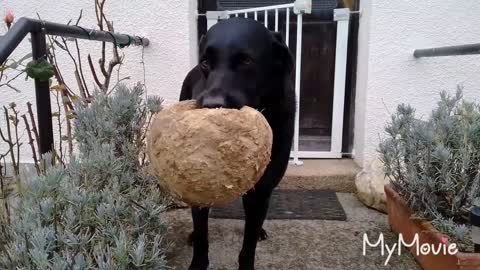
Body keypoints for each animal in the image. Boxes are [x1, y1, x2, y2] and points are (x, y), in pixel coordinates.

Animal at [178, 17, 294, 270]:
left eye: (246, 61)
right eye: (206, 63)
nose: (212, 105)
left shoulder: (261, 190)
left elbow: (248, 246)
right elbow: (202, 236)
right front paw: (198, 262)